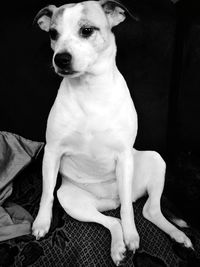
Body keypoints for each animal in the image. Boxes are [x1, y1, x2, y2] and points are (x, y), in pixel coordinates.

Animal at [32, 1, 193, 266]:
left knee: (145, 209)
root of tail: (108, 202)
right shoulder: (52, 152)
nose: (61, 59)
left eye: (87, 30)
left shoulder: (124, 157)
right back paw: (118, 247)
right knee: (113, 220)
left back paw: (176, 235)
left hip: (155, 160)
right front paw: (42, 222)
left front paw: (132, 236)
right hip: (71, 200)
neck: (89, 90)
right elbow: (46, 194)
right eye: (53, 34)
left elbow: (128, 209)